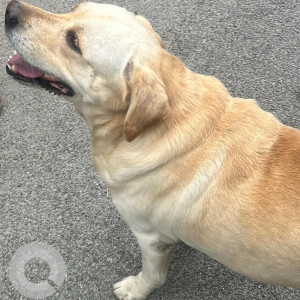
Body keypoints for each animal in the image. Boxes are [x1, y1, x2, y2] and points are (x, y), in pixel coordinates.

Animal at [4, 1, 300, 298]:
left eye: (74, 42)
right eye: (75, 8)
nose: (10, 10)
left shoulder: (150, 237)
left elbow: (153, 274)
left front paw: (135, 289)